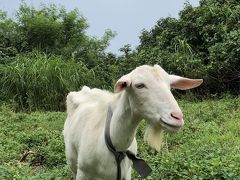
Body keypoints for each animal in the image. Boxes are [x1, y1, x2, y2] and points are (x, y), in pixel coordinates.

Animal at [63, 64, 202, 179]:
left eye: (169, 85)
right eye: (139, 85)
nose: (177, 117)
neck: (115, 147)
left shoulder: (126, 172)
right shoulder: (83, 172)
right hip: (72, 161)